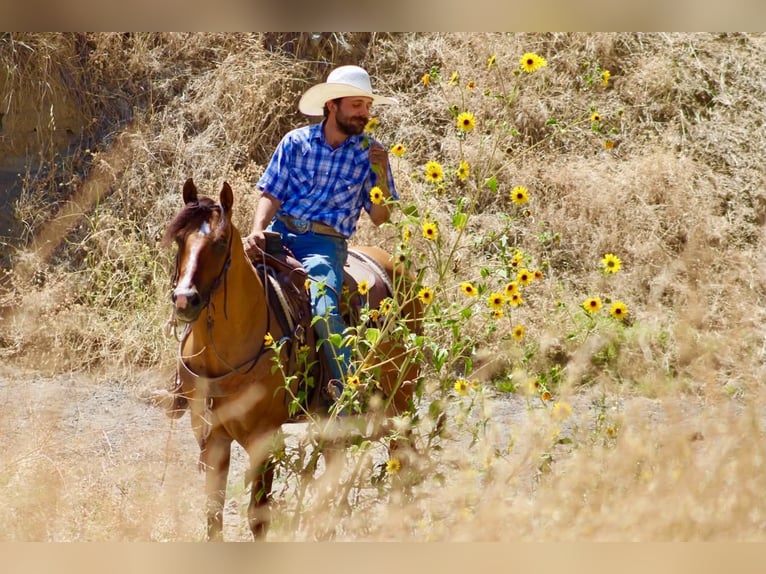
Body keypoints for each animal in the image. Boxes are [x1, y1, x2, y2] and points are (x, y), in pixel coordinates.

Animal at [163, 178, 422, 541]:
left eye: (219, 242)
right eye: (179, 240)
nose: (184, 300)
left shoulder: (264, 437)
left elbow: (258, 517)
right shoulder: (211, 436)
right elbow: (213, 515)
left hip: (401, 396)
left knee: (402, 453)